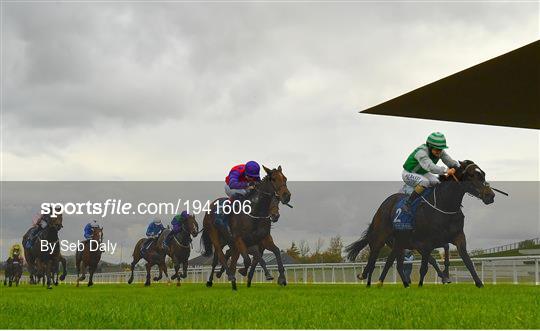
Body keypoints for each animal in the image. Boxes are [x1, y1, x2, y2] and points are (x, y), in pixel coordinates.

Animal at [346, 161, 494, 288]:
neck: (444, 206)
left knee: (393, 263)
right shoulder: (424, 243)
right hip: (381, 237)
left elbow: (467, 261)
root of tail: (384, 204)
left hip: (398, 243)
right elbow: (425, 266)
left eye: (483, 174)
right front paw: (423, 284)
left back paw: (400, 284)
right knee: (373, 259)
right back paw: (367, 279)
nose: (490, 195)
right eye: (472, 175)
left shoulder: (456, 237)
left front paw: (479, 284)